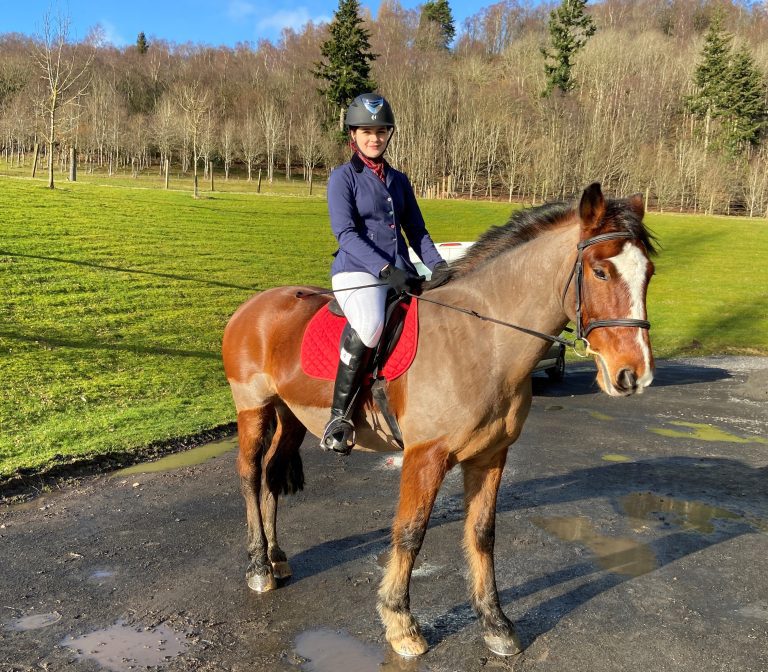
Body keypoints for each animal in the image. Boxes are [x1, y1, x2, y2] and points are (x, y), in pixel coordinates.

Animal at [221, 182, 657, 657]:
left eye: (649, 273)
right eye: (600, 272)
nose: (634, 375)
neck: (483, 342)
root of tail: (254, 305)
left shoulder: (491, 456)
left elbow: (482, 533)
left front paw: (495, 624)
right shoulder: (424, 457)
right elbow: (411, 533)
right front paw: (400, 622)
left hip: (292, 416)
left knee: (271, 475)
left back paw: (276, 557)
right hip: (254, 410)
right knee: (250, 475)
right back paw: (258, 566)